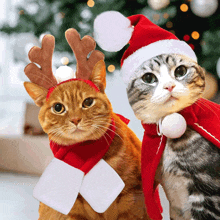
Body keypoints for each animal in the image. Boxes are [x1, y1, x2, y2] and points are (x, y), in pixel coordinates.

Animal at [24, 59, 150, 219]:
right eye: (58, 107)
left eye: (88, 102)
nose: (75, 119)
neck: (86, 152)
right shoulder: (74, 209)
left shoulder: (133, 200)